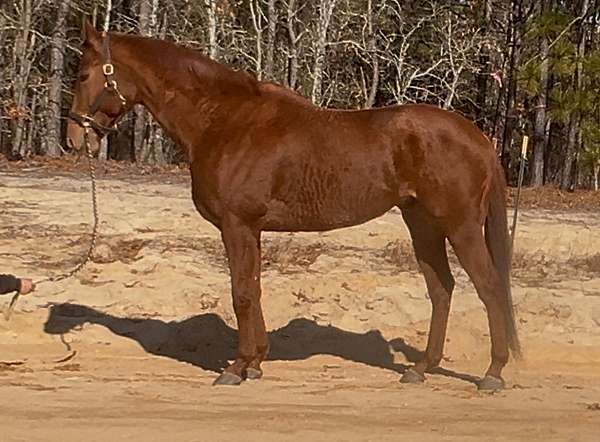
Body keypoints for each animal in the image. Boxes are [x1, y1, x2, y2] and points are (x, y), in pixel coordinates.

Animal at [68, 22, 520, 390]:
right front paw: (255, 364)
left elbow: (241, 293)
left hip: (460, 226)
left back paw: (493, 373)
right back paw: (421, 368)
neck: (225, 121)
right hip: (422, 225)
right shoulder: (251, 229)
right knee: (441, 289)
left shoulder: (236, 224)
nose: (75, 138)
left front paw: (237, 368)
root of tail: (479, 138)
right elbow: (253, 288)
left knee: (490, 287)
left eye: (84, 74)